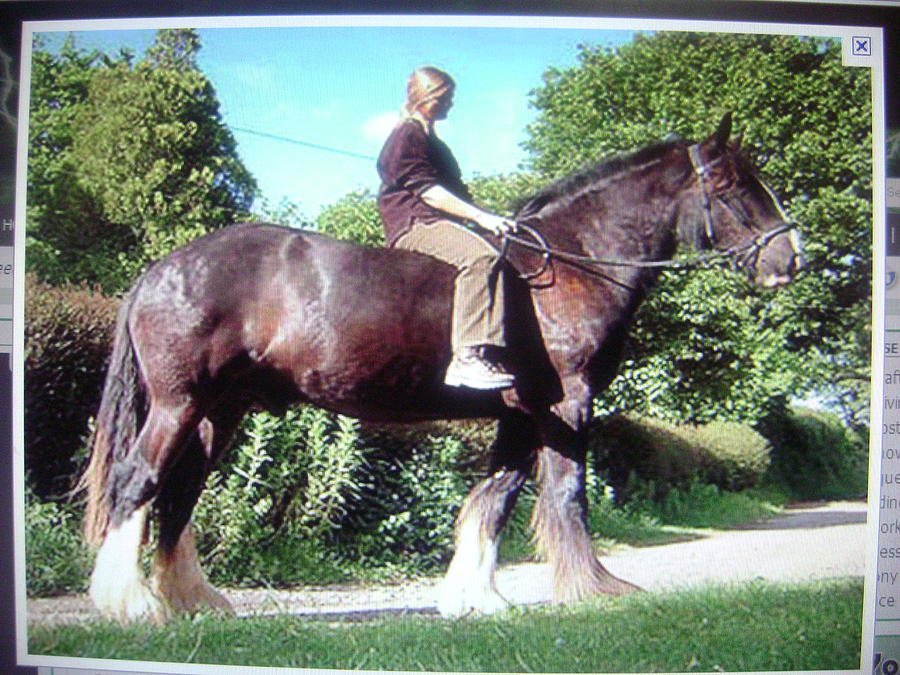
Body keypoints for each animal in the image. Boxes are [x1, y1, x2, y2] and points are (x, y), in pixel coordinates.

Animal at [82, 112, 800, 624]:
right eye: (734, 187)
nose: (790, 258)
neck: (569, 264)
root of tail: (163, 267)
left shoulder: (521, 414)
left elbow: (494, 498)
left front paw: (477, 598)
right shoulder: (567, 405)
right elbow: (567, 493)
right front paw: (595, 588)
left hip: (218, 412)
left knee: (179, 493)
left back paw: (192, 601)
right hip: (180, 403)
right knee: (139, 482)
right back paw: (132, 605)